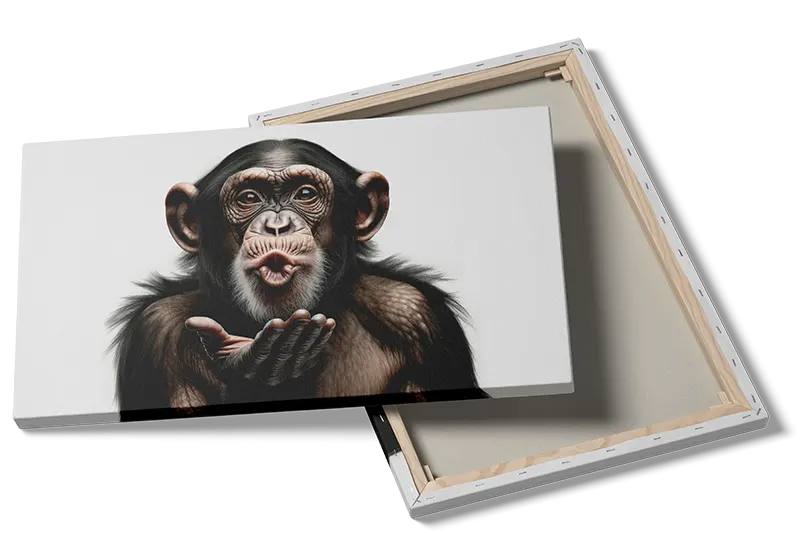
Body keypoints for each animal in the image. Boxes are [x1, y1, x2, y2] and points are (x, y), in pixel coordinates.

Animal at [107, 138, 486, 416]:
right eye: (249, 198)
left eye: (305, 194)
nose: (278, 226)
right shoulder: (153, 333)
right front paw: (260, 372)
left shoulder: (418, 317)